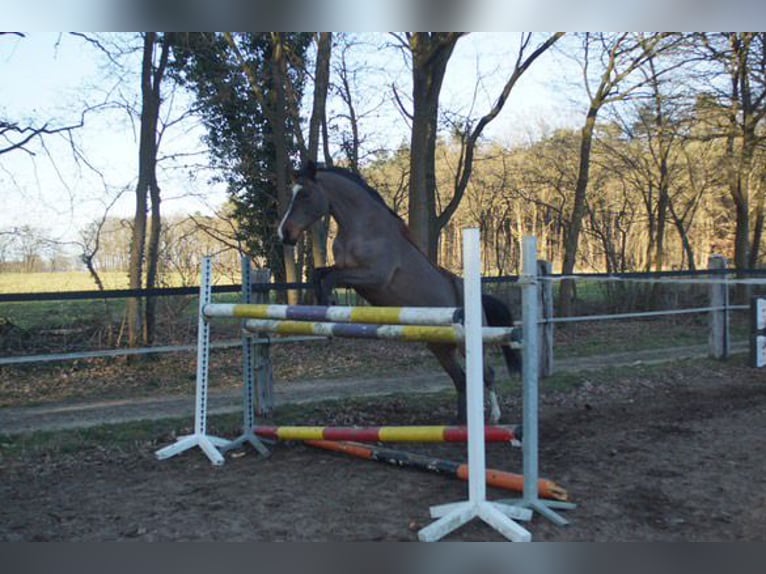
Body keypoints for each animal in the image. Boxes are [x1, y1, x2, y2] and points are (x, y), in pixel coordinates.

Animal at [276, 161, 520, 424]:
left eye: (305, 194)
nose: (284, 234)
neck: (364, 227)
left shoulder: (374, 276)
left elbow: (329, 277)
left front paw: (327, 302)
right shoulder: (348, 272)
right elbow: (319, 274)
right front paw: (326, 303)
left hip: (468, 342)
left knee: (486, 373)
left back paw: (494, 415)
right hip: (440, 347)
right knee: (461, 380)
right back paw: (459, 420)